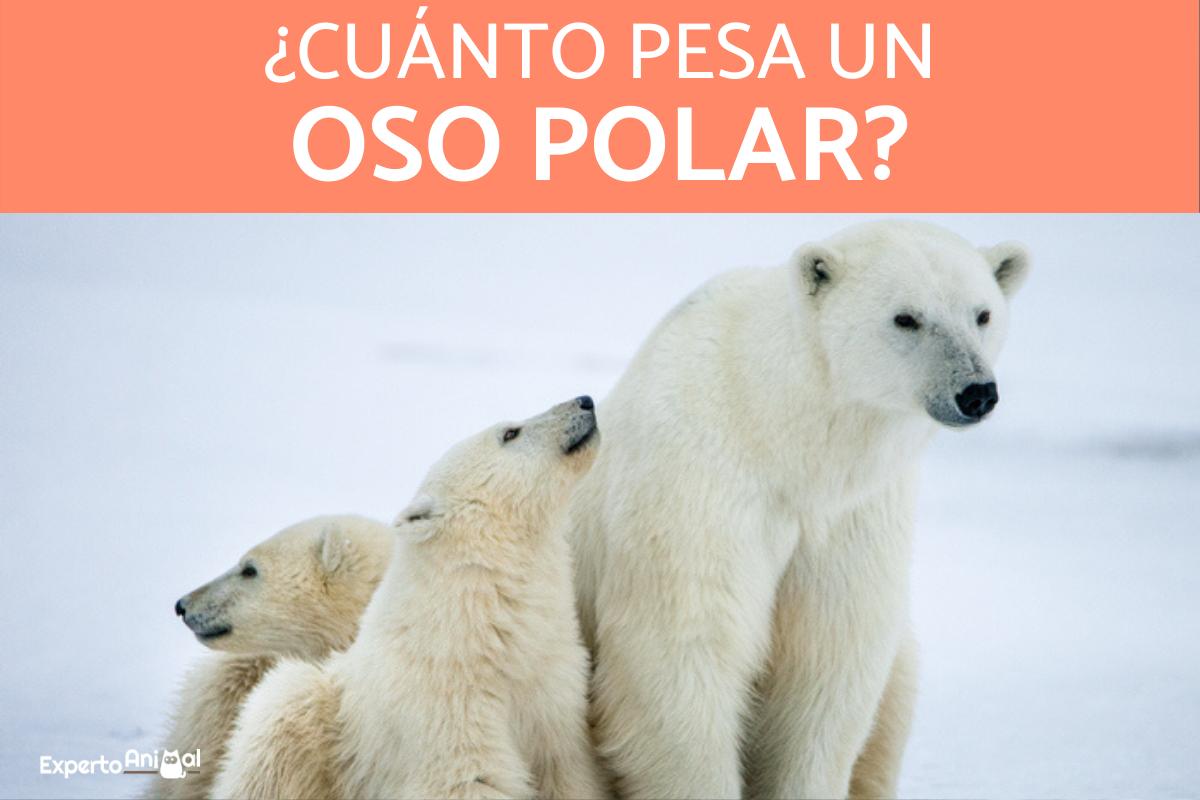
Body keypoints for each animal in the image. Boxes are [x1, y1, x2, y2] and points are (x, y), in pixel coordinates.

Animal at [212, 397, 608, 800]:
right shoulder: (443, 707)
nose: (584, 401)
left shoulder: (553, 690)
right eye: (510, 432)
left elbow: (565, 769)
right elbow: (470, 778)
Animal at [565, 220, 1030, 799]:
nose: (976, 392)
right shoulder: (699, 484)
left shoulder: (853, 513)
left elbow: (825, 665)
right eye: (906, 317)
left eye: (982, 314)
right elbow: (684, 651)